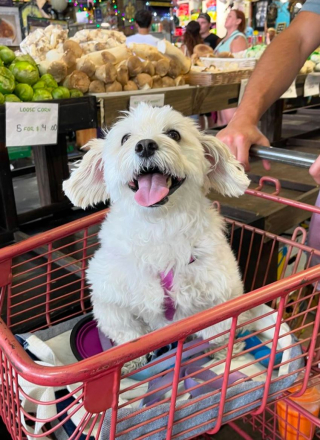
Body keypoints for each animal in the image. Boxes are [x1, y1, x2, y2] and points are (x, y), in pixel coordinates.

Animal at [63, 104, 251, 372]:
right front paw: (131, 362)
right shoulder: (111, 301)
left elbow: (221, 331)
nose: (145, 145)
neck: (159, 226)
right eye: (125, 138)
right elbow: (127, 334)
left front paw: (223, 351)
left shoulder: (221, 295)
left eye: (174, 134)